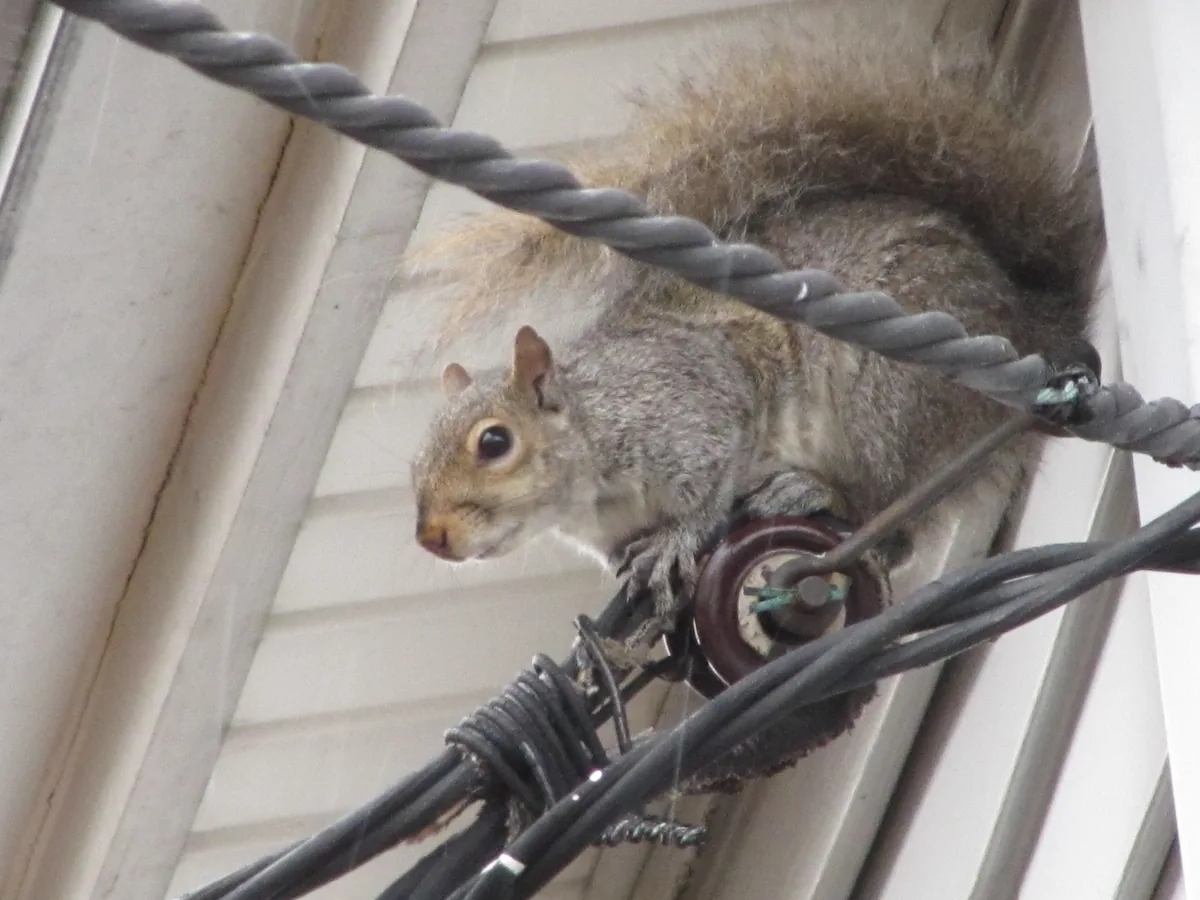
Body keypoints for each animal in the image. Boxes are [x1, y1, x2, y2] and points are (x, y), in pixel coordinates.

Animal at [406, 17, 1103, 653]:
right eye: (415, 464)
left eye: (495, 442)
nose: (430, 539)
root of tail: (1026, 323)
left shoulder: (695, 405)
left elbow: (713, 477)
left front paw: (677, 541)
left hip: (889, 403)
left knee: (890, 519)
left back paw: (813, 488)